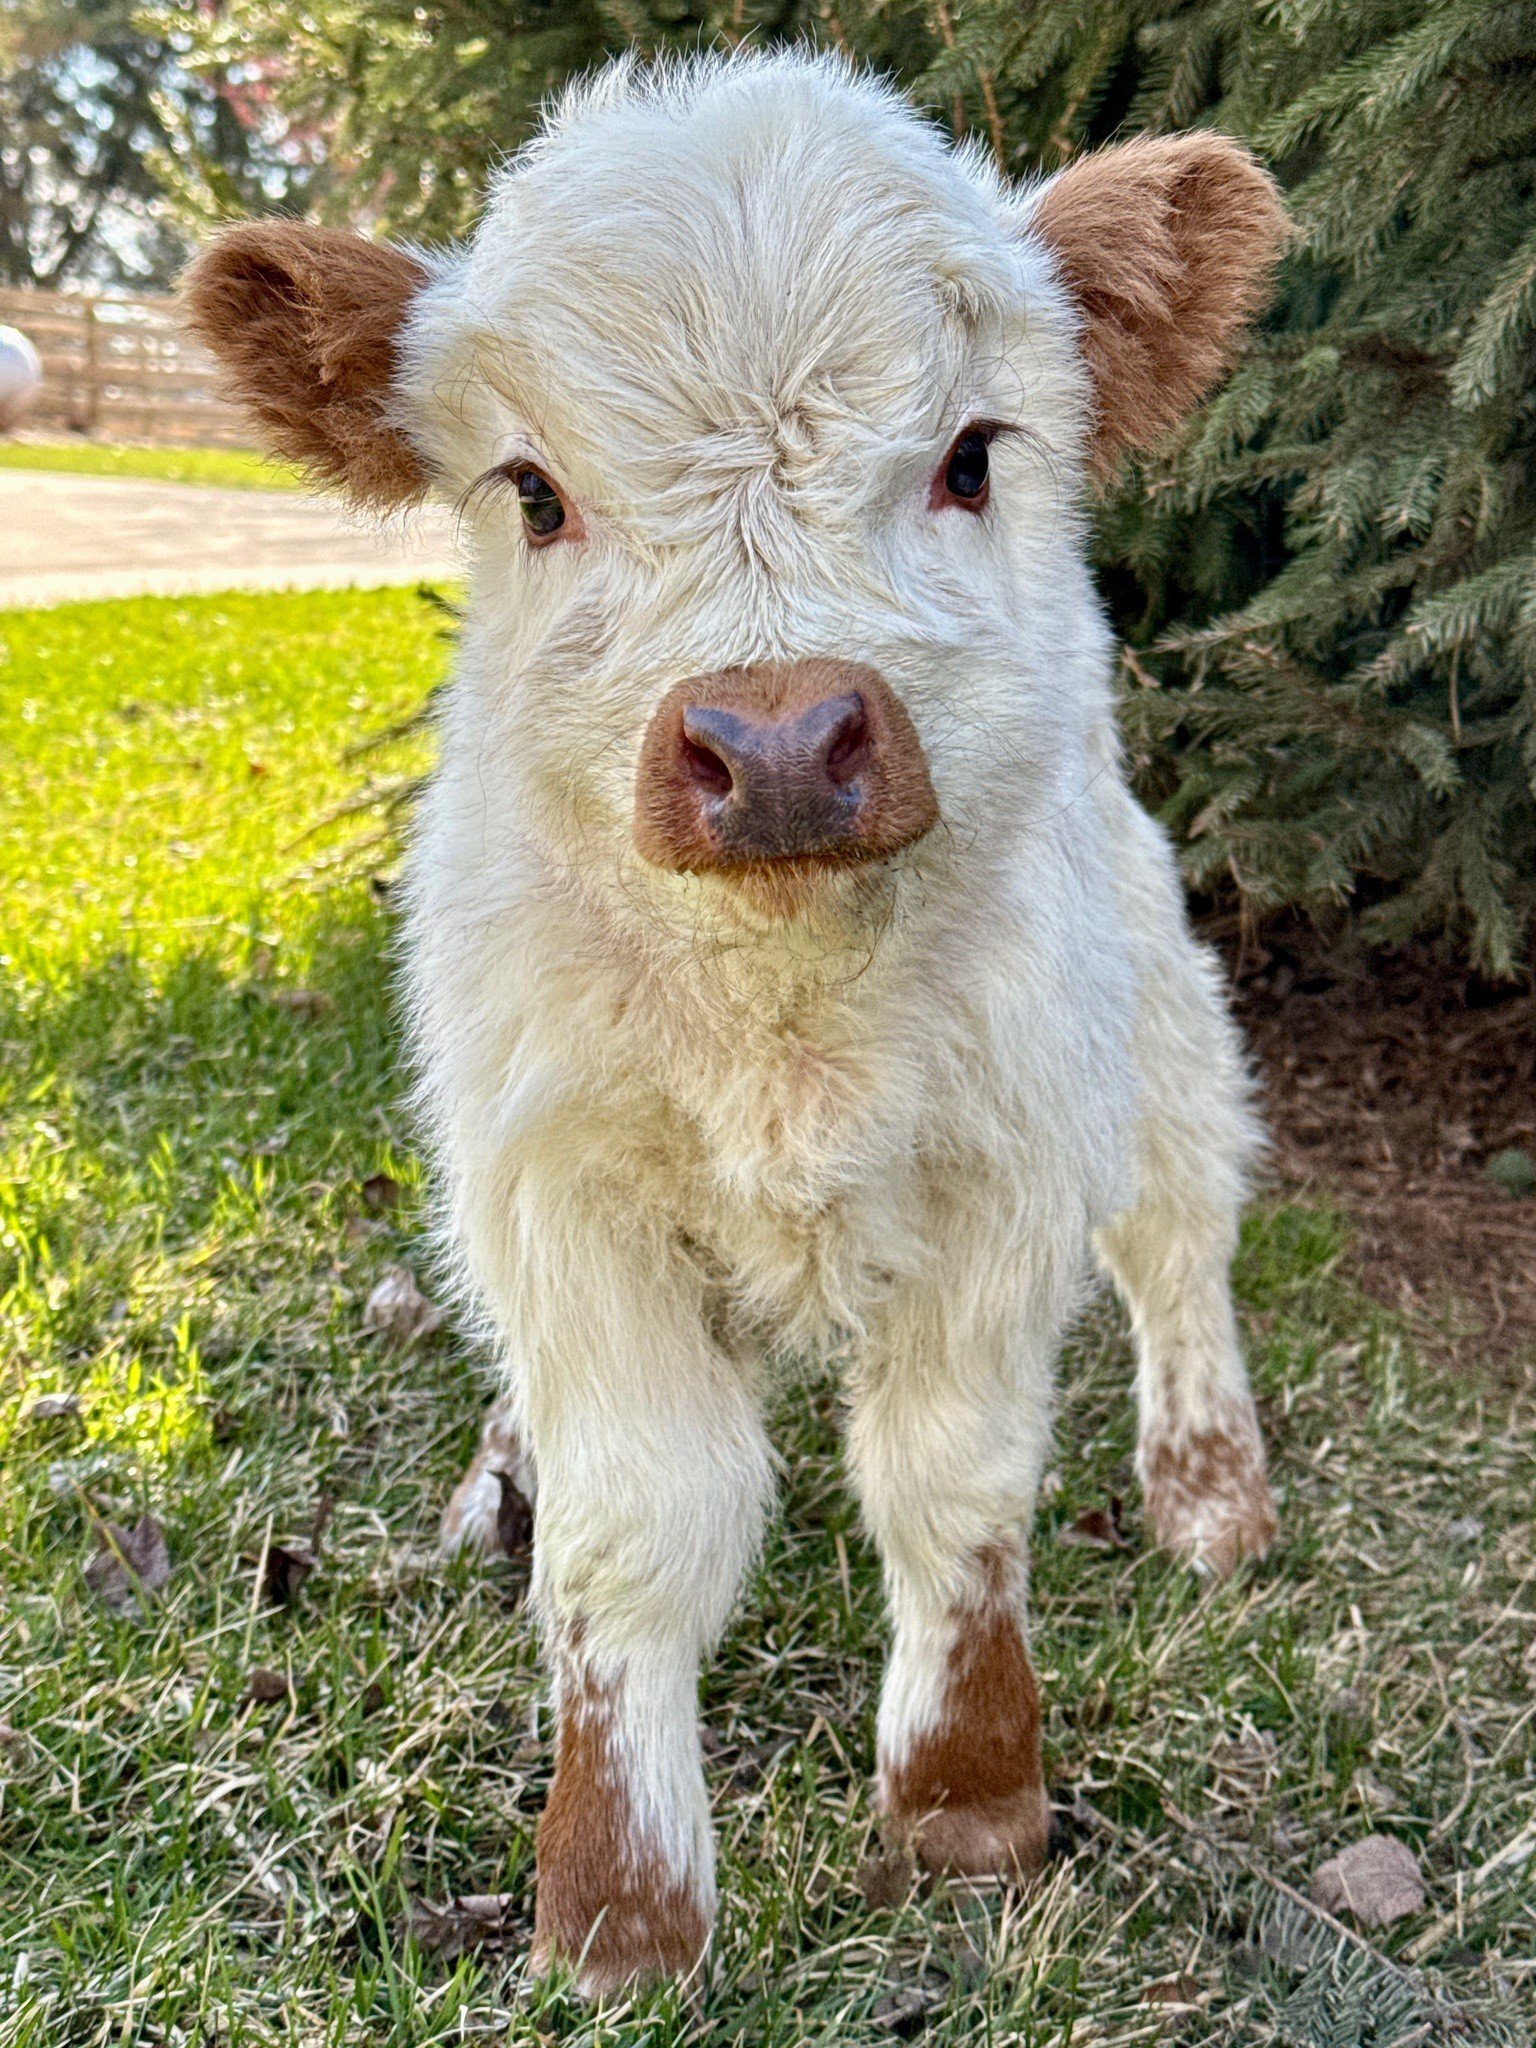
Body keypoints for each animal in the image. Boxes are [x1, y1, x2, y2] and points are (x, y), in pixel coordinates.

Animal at [186, 49, 1285, 1997]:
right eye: (532, 489)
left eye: (971, 455)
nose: (774, 743)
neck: (785, 1014)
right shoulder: (554, 1184)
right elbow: (637, 1528)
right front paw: (617, 1905)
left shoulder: (1006, 1167)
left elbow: (954, 1485)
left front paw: (968, 1802)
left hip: (1152, 993)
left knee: (1180, 1222)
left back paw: (1209, 1485)